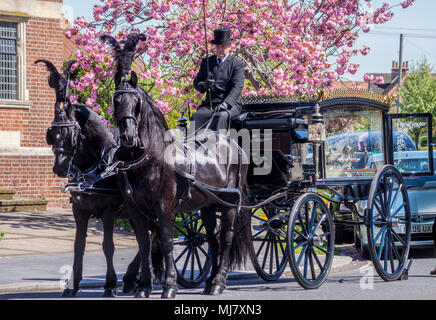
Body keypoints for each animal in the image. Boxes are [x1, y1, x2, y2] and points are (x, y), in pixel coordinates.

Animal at [35, 59, 164, 298]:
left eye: (71, 135)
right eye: (51, 134)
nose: (60, 168)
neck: (95, 167)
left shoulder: (108, 211)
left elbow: (108, 245)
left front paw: (110, 284)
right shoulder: (80, 210)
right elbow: (79, 245)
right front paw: (73, 285)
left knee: (150, 238)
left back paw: (139, 277)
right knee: (148, 238)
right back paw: (135, 278)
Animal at [102, 35, 250, 298]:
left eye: (136, 102)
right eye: (116, 100)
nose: (128, 137)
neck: (148, 159)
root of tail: (234, 143)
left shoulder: (164, 208)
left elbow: (167, 242)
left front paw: (169, 285)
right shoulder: (135, 209)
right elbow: (144, 243)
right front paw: (143, 286)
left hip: (231, 203)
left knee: (226, 237)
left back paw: (219, 281)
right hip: (208, 204)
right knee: (212, 238)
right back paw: (209, 280)